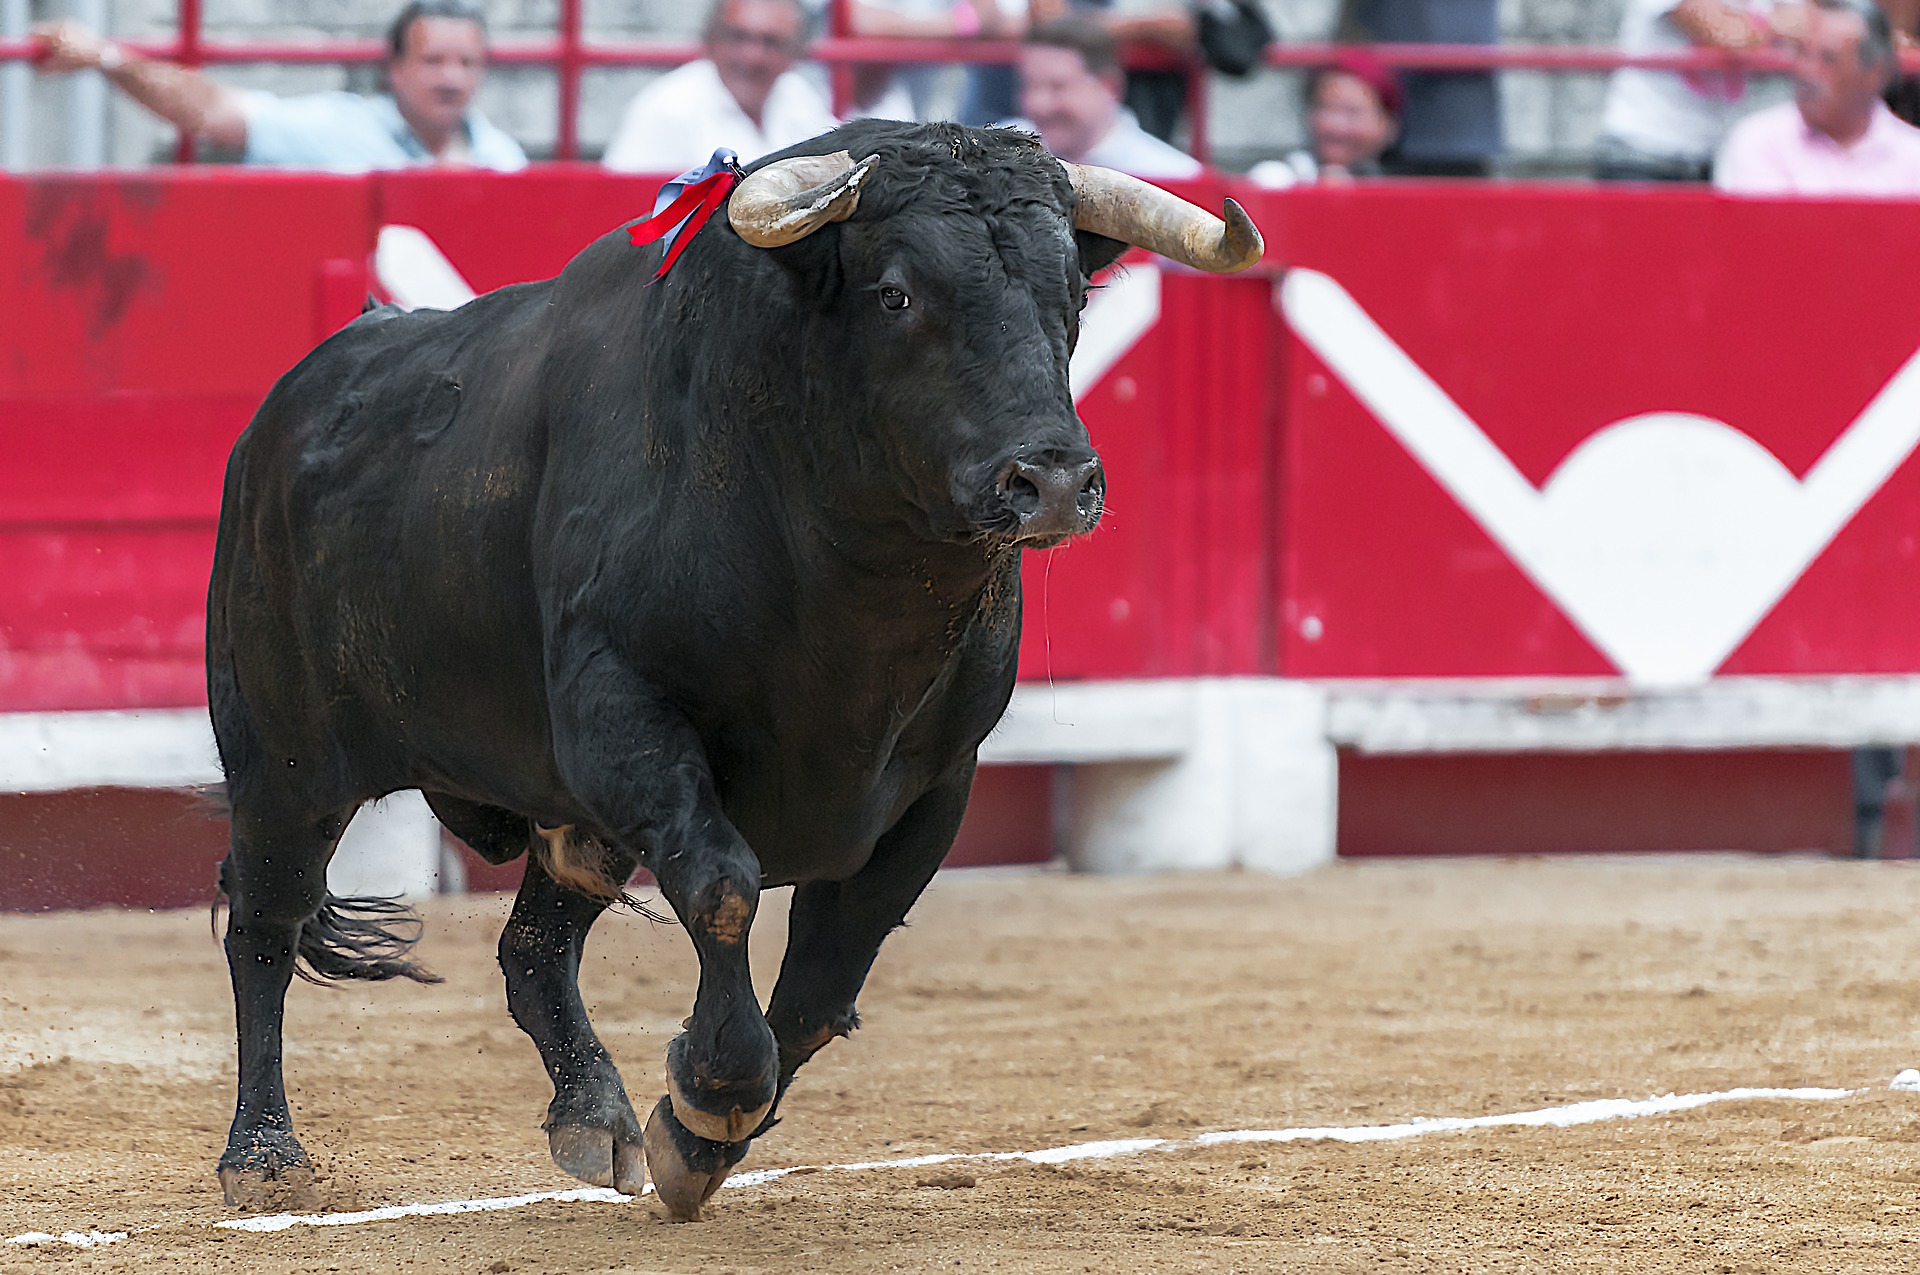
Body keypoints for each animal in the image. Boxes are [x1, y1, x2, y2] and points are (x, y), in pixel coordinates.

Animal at [206, 120, 1262, 1221]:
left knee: (533, 948)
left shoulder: (938, 783)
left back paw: (595, 1116)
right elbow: (723, 887)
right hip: (284, 761)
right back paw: (263, 1155)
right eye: (896, 293)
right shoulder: (625, 719)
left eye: (1074, 296)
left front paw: (694, 1140)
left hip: (566, 816)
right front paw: (714, 1094)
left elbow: (827, 978)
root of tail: (287, 408)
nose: (1051, 478)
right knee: (265, 924)